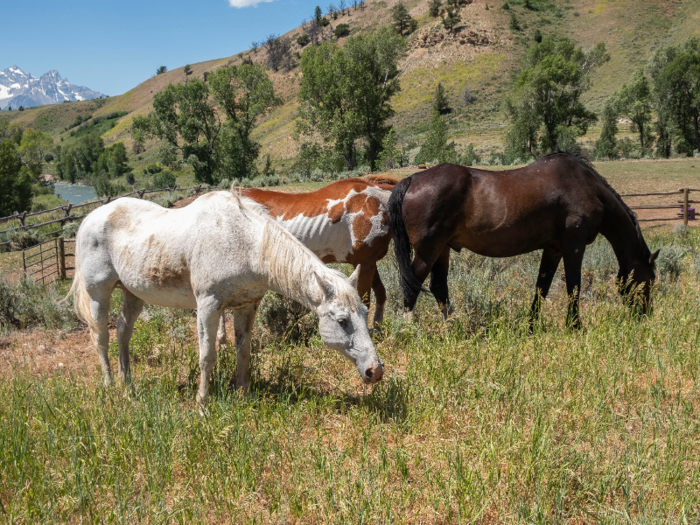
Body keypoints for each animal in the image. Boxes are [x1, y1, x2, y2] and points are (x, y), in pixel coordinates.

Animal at [70, 190, 386, 404]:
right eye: (342, 321)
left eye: (364, 314)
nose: (375, 371)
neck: (245, 245)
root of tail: (90, 218)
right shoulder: (208, 306)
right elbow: (207, 355)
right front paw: (202, 402)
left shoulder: (247, 306)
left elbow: (243, 350)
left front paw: (243, 393)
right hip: (98, 292)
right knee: (101, 337)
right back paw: (110, 384)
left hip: (133, 294)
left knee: (123, 331)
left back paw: (129, 384)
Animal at [388, 150, 660, 328]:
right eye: (650, 279)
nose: (645, 315)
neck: (586, 187)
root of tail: (412, 179)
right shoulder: (574, 246)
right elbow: (574, 286)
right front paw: (575, 326)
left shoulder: (553, 249)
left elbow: (542, 288)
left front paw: (531, 326)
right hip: (428, 250)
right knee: (412, 285)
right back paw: (410, 330)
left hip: (442, 249)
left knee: (438, 287)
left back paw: (452, 327)